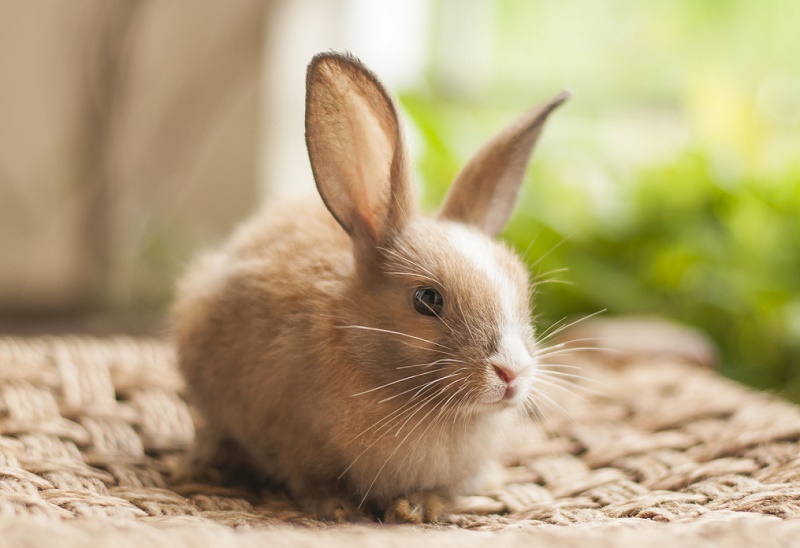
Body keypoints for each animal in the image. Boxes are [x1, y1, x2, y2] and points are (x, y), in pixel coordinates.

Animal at [173, 51, 568, 524]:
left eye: (523, 291)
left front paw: (417, 509)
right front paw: (336, 507)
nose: (512, 372)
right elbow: (310, 479)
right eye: (427, 300)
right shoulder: (292, 446)